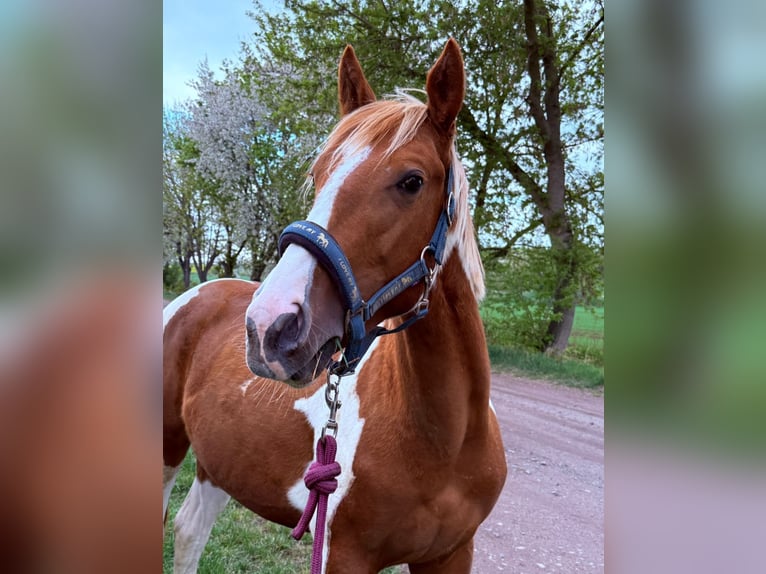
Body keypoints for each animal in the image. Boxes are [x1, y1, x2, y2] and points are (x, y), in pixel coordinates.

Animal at [163, 38, 507, 573]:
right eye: (319, 173)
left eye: (412, 181)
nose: (269, 327)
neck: (446, 444)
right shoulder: (342, 552)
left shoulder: (452, 554)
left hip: (218, 464)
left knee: (189, 531)